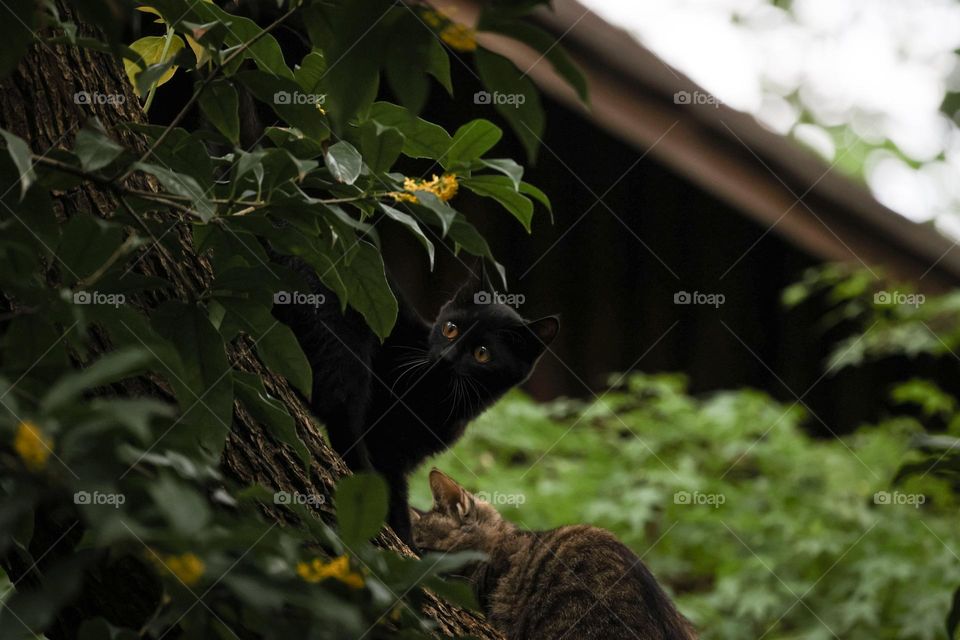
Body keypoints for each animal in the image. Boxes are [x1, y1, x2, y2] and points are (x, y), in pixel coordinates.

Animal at [272, 264, 556, 544]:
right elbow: (394, 496)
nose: (446, 357)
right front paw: (406, 542)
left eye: (482, 354)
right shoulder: (387, 448)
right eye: (450, 328)